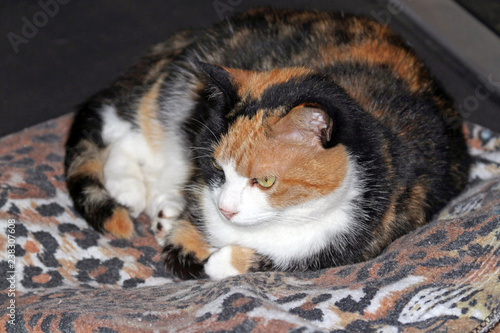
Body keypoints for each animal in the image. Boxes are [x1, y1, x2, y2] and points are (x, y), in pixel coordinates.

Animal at [64, 7, 470, 278]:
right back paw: (129, 190)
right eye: (216, 167)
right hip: (177, 99)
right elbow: (186, 250)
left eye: (266, 180)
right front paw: (195, 239)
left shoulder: (366, 237)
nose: (225, 209)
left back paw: (163, 206)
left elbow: (275, 261)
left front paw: (222, 259)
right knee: (123, 132)